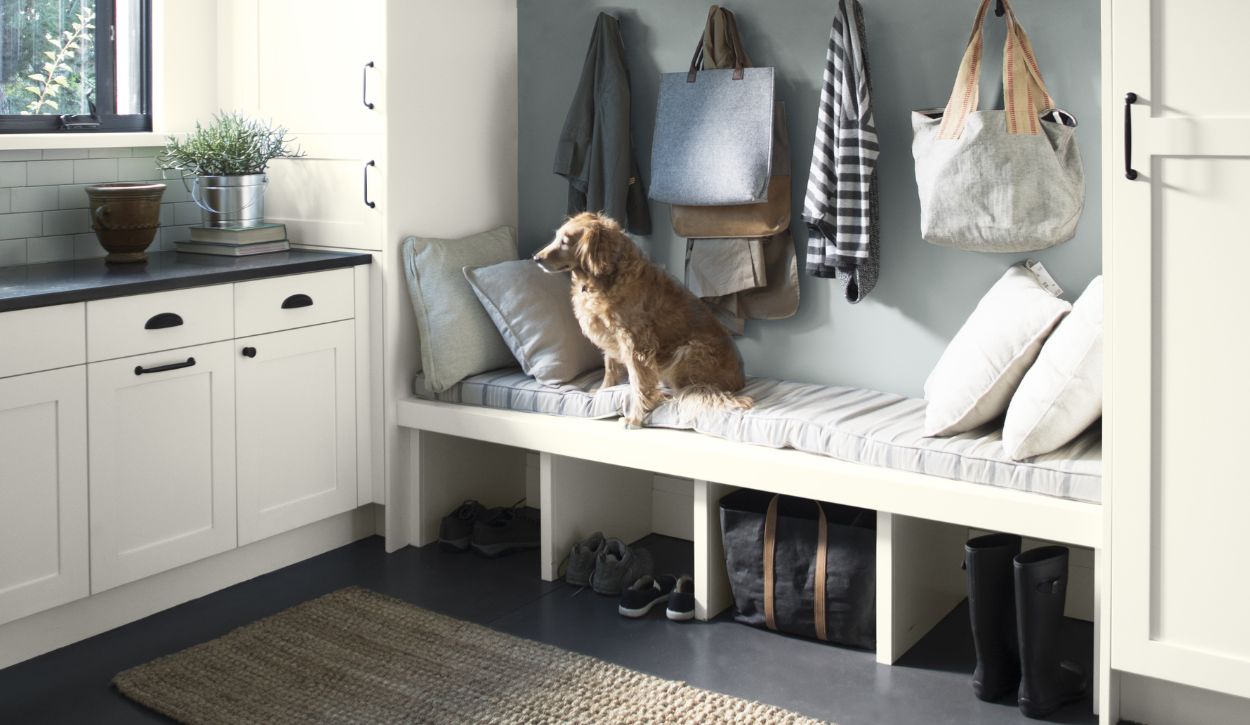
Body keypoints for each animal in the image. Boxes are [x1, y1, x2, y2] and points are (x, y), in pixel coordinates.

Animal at [530, 212, 745, 427]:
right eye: (556, 237)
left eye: (565, 242)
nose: (536, 258)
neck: (607, 275)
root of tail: (739, 382)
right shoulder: (611, 336)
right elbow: (610, 369)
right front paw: (602, 392)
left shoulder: (635, 342)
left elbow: (638, 382)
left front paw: (635, 417)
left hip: (687, 352)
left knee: (688, 393)